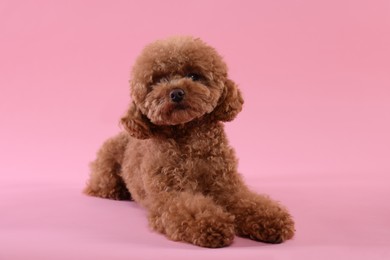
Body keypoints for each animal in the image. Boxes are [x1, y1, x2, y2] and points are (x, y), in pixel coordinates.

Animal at [84, 36, 294, 248]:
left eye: (193, 75)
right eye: (157, 81)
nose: (176, 93)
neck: (191, 142)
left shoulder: (227, 186)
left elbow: (248, 202)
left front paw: (270, 219)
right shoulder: (169, 194)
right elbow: (189, 209)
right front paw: (211, 223)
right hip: (107, 162)